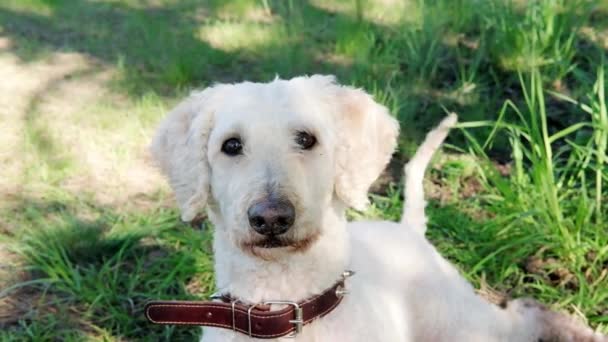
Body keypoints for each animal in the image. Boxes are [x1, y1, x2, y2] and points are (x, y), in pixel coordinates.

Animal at [151, 76, 604, 340]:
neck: (284, 307)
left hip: (462, 322)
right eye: (230, 146)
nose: (271, 218)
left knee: (518, 314)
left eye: (306, 138)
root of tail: (407, 230)